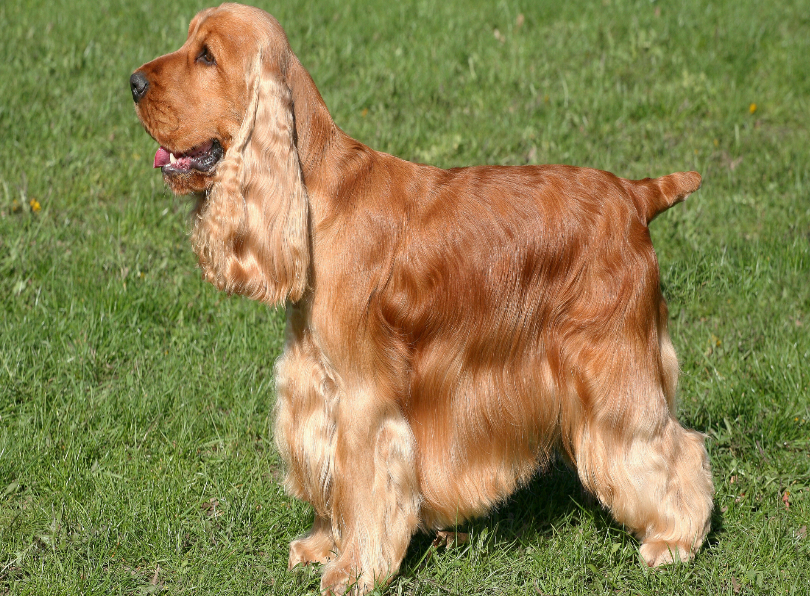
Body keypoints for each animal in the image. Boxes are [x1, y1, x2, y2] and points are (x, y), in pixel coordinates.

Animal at [131, 3, 712, 596]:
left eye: (206, 55)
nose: (132, 83)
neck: (317, 197)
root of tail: (636, 195)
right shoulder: (314, 383)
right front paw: (320, 544)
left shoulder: (364, 397)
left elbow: (364, 485)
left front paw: (353, 570)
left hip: (613, 364)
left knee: (674, 446)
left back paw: (674, 541)